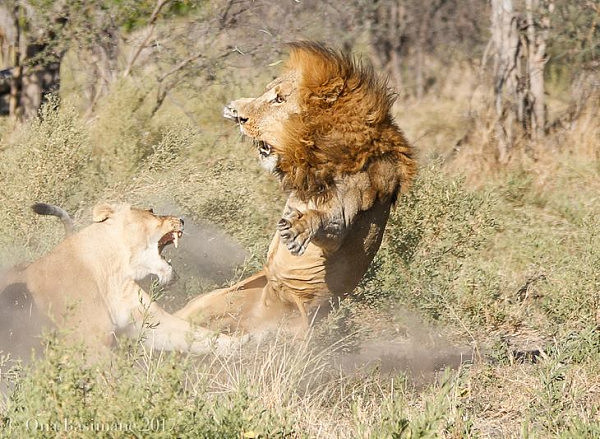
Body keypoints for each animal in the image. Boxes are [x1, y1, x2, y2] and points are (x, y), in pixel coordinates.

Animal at [0, 205, 239, 356]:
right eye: (151, 211)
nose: (181, 220)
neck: (113, 271)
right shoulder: (92, 344)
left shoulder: (150, 323)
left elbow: (203, 337)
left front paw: (245, 349)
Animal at [176, 43, 414, 334]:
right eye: (266, 93)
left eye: (280, 99)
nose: (241, 118)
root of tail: (269, 300)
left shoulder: (347, 212)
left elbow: (326, 220)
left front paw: (297, 229)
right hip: (211, 301)